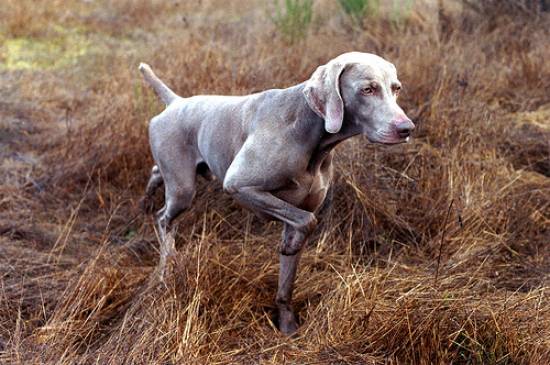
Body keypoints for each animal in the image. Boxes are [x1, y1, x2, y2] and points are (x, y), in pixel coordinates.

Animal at [138, 52, 414, 334]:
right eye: (368, 89)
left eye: (396, 88)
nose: (407, 129)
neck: (310, 133)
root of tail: (176, 101)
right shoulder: (240, 184)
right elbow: (306, 220)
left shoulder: (299, 209)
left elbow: (287, 281)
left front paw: (287, 323)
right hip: (183, 189)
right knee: (163, 218)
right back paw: (166, 265)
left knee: (156, 172)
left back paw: (146, 198)